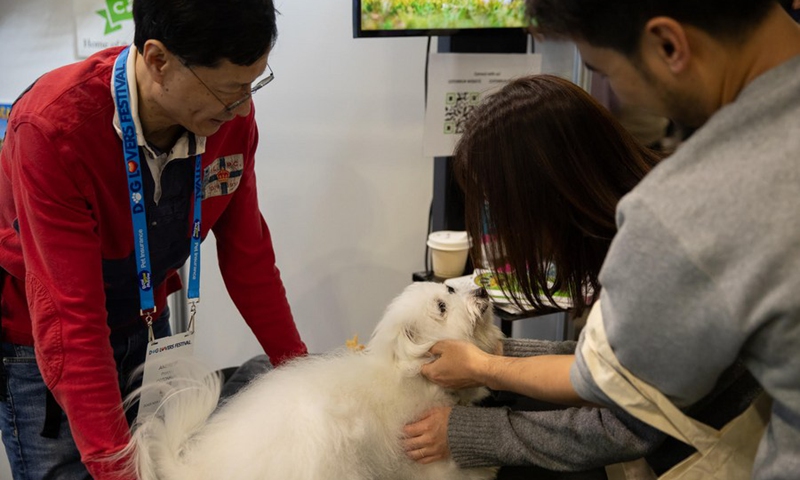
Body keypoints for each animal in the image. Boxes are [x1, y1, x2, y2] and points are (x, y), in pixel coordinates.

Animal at [123, 284, 500, 480]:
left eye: (449, 287)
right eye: (442, 306)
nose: (483, 289)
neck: (406, 368)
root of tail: (200, 469)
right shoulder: (429, 462)